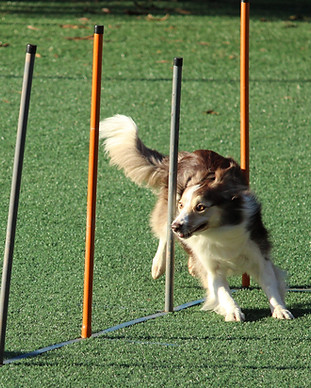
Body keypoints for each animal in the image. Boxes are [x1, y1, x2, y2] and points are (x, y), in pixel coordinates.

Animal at [100, 115, 294, 322]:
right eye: (181, 205)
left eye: (200, 207)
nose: (177, 226)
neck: (219, 231)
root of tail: (184, 155)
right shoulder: (210, 265)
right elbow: (223, 292)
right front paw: (233, 311)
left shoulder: (258, 252)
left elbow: (270, 283)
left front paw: (280, 309)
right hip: (167, 208)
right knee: (163, 233)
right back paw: (159, 265)